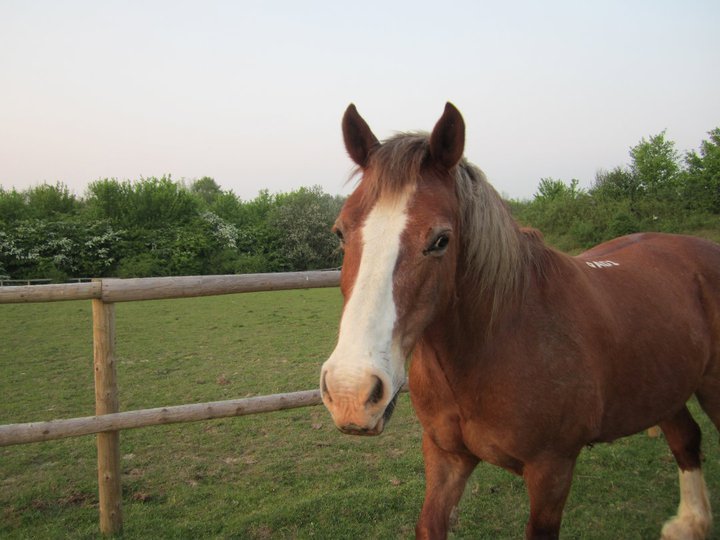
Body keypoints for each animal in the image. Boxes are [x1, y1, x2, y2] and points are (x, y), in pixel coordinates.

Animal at [319, 102, 720, 539]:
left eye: (440, 240)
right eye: (340, 233)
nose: (350, 392)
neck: (493, 348)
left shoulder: (551, 471)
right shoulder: (445, 456)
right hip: (664, 387)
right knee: (685, 438)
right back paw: (689, 523)